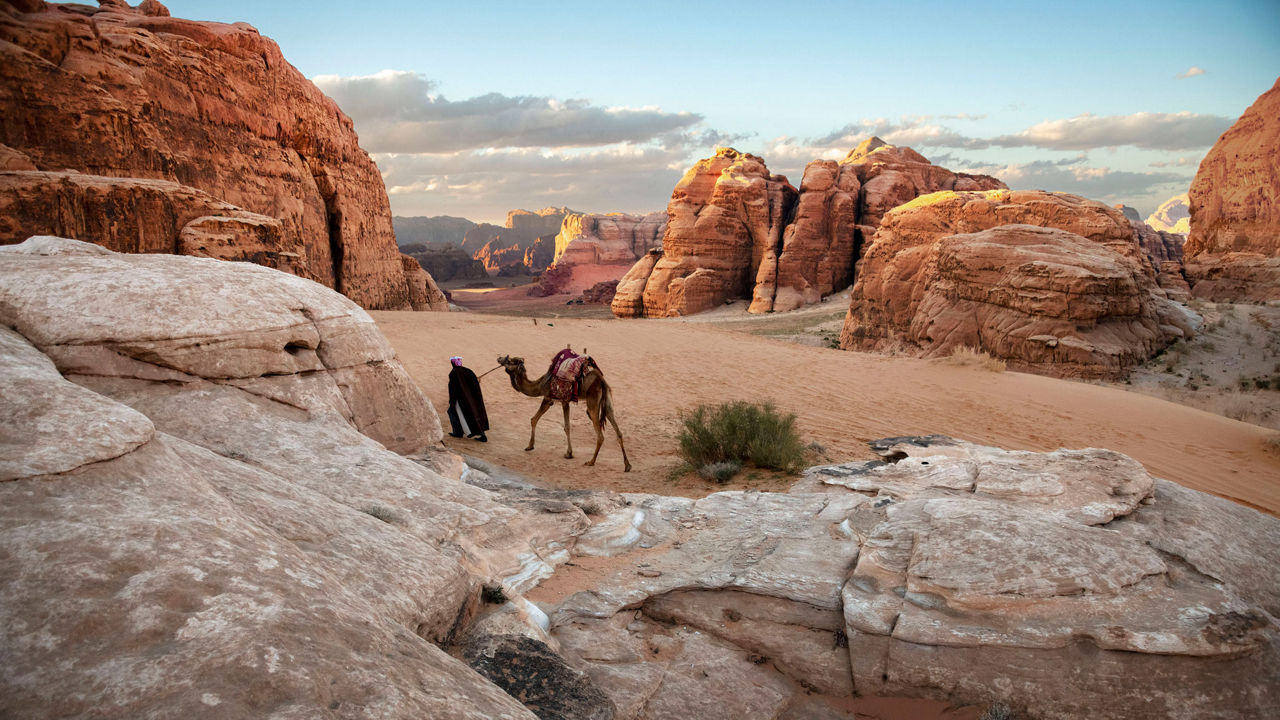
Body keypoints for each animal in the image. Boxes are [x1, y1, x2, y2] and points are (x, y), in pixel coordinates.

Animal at [494, 351, 629, 471]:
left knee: (600, 435)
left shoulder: (550, 398)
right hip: (608, 403)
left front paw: (530, 446)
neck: (540, 385)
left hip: (593, 403)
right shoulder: (565, 401)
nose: (499, 358)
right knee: (618, 432)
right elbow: (564, 426)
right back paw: (627, 465)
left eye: (510, 360)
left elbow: (536, 420)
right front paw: (568, 453)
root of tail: (602, 382)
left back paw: (591, 462)